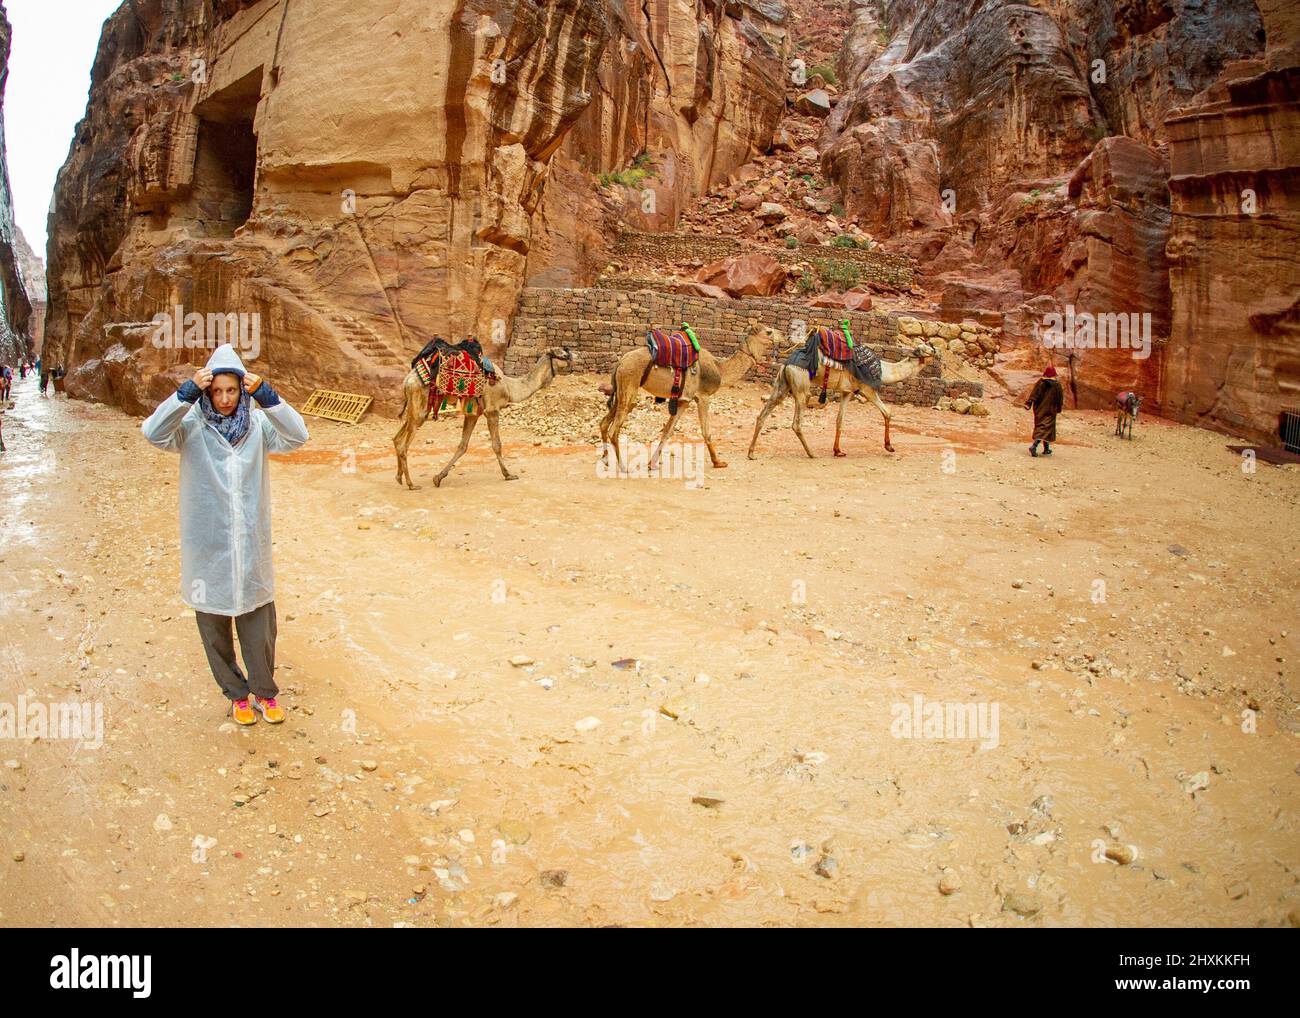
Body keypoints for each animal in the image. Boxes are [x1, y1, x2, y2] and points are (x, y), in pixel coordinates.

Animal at [392, 345, 572, 488]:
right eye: (563, 354)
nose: (574, 356)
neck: (509, 386)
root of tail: (407, 381)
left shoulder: (473, 414)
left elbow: (463, 446)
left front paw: (438, 477)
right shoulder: (492, 410)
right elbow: (497, 445)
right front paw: (509, 474)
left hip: (414, 409)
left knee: (396, 439)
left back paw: (399, 478)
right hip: (420, 406)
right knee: (403, 445)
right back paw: (411, 484)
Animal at [598, 321, 790, 475]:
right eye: (769, 332)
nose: (784, 335)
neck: (720, 369)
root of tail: (620, 362)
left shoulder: (684, 400)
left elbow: (667, 431)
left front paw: (652, 464)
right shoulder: (703, 397)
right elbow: (706, 431)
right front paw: (718, 462)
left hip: (621, 389)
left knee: (604, 423)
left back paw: (606, 460)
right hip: (630, 383)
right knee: (614, 428)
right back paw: (623, 467)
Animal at [748, 325, 941, 460]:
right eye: (928, 349)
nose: (938, 351)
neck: (883, 369)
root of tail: (786, 364)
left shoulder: (847, 391)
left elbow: (840, 420)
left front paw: (838, 451)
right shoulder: (866, 388)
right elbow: (887, 412)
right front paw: (889, 447)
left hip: (782, 385)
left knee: (762, 415)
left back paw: (751, 453)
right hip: (801, 385)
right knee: (796, 422)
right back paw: (811, 453)